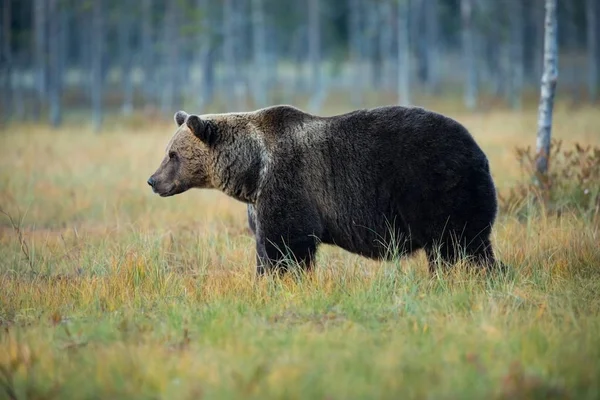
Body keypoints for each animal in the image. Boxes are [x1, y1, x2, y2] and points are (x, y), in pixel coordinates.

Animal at [149, 104, 502, 276]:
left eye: (173, 155)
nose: (153, 181)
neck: (252, 169)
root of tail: (478, 150)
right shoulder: (259, 202)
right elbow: (263, 244)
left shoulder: (288, 182)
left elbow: (288, 242)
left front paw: (285, 279)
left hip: (436, 186)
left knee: (460, 242)